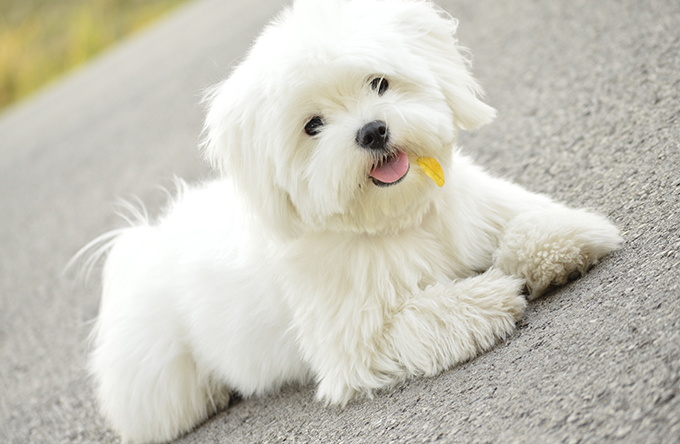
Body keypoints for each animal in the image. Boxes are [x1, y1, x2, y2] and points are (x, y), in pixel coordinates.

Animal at [89, 0, 620, 442]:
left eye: (378, 82)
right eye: (313, 125)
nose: (372, 130)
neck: (396, 220)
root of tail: (148, 239)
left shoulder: (481, 208)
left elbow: (526, 221)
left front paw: (560, 240)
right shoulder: (356, 347)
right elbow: (424, 316)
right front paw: (488, 296)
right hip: (161, 385)